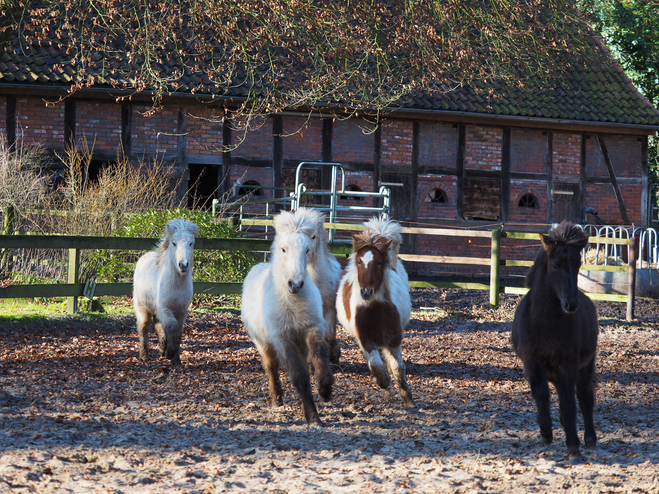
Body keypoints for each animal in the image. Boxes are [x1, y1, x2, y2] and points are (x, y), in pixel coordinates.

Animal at [132, 219, 199, 366]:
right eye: (174, 243)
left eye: (191, 243)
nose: (183, 265)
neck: (176, 285)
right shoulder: (165, 309)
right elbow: (171, 326)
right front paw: (170, 353)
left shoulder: (181, 311)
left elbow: (178, 332)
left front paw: (176, 360)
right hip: (142, 308)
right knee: (143, 328)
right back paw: (144, 356)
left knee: (158, 326)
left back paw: (162, 350)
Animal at [242, 208, 336, 424]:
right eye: (283, 249)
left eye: (307, 249)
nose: (295, 283)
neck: (292, 301)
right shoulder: (283, 338)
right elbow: (299, 376)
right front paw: (313, 417)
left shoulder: (312, 329)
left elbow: (319, 355)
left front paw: (325, 390)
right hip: (264, 343)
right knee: (271, 367)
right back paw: (277, 399)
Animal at [338, 216, 416, 406]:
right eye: (359, 261)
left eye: (379, 262)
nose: (366, 292)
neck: (374, 309)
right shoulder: (365, 339)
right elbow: (375, 365)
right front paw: (384, 384)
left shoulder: (395, 339)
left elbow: (397, 367)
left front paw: (407, 397)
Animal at [512, 222, 600, 462]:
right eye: (554, 265)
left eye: (578, 264)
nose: (571, 304)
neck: (545, 323)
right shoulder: (532, 360)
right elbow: (541, 393)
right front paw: (546, 432)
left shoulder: (568, 362)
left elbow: (569, 402)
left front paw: (573, 446)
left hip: (585, 366)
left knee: (585, 397)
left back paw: (590, 438)